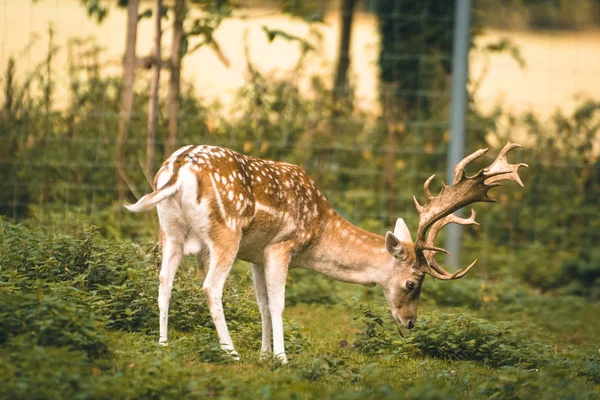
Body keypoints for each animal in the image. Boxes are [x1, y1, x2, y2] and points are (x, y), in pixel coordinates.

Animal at [125, 141, 524, 362]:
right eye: (414, 283)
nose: (410, 322)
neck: (317, 229)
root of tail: (177, 170)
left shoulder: (256, 254)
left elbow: (262, 305)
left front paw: (264, 354)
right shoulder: (282, 246)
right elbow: (279, 304)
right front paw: (281, 357)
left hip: (170, 229)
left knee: (163, 280)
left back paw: (163, 344)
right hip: (226, 232)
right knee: (210, 287)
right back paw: (230, 352)